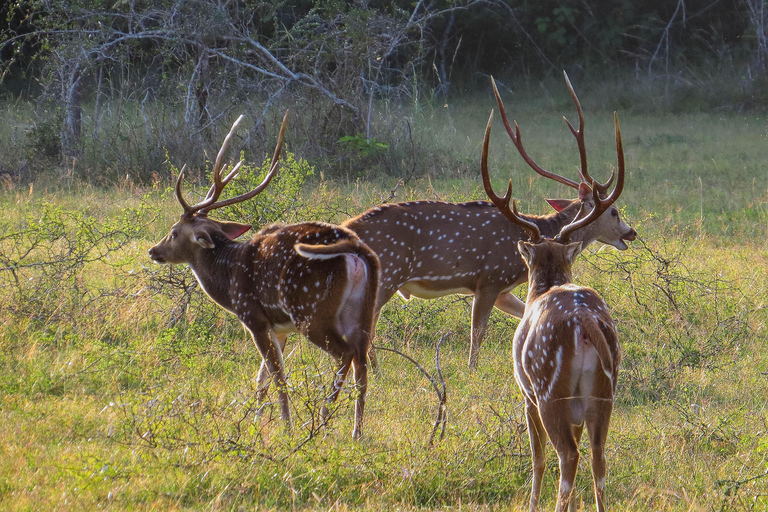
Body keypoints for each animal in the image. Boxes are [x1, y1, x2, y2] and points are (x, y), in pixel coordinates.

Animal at [148, 114, 380, 442]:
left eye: (174, 232)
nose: (153, 250)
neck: (228, 278)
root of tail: (358, 251)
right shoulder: (279, 327)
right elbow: (262, 378)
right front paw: (256, 421)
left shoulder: (254, 317)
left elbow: (277, 374)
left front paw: (285, 426)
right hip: (362, 311)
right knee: (362, 361)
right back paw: (356, 432)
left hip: (311, 311)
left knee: (345, 354)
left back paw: (322, 420)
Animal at [342, 72, 636, 368]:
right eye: (614, 211)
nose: (631, 232)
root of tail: (348, 228)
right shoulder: (489, 279)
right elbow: (477, 335)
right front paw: (471, 370)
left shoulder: (503, 289)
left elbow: (524, 315)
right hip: (387, 274)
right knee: (365, 326)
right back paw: (373, 371)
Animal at [486, 106, 624, 510]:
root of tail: (584, 322)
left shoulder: (525, 393)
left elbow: (537, 457)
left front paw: (530, 502)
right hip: (603, 391)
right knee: (598, 458)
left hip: (549, 388)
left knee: (567, 456)